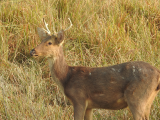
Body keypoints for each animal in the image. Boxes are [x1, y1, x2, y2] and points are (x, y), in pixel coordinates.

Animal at [30, 18, 160, 119]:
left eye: (49, 43)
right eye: (41, 40)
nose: (32, 51)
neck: (66, 78)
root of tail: (158, 73)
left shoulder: (79, 98)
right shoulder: (90, 106)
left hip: (136, 97)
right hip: (148, 99)